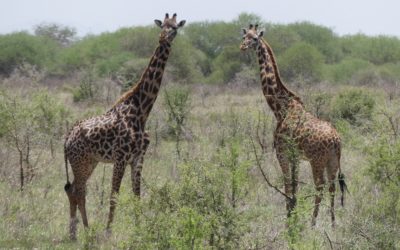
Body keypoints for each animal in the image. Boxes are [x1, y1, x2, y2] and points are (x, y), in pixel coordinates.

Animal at [63, 14, 186, 240]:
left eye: (175, 28)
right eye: (163, 26)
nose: (163, 37)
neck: (142, 111)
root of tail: (66, 138)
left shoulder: (137, 158)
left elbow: (137, 194)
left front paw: (139, 230)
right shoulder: (120, 158)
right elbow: (114, 195)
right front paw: (108, 232)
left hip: (90, 162)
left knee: (74, 189)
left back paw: (77, 233)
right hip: (80, 162)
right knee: (78, 191)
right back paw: (84, 231)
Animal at [241, 24, 346, 227]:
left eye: (255, 38)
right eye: (244, 36)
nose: (242, 47)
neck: (281, 107)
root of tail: (336, 140)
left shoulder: (282, 153)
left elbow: (288, 185)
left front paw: (289, 219)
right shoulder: (295, 156)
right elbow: (295, 187)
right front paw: (293, 214)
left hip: (316, 160)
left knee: (320, 185)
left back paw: (313, 223)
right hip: (332, 160)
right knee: (332, 186)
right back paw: (332, 222)